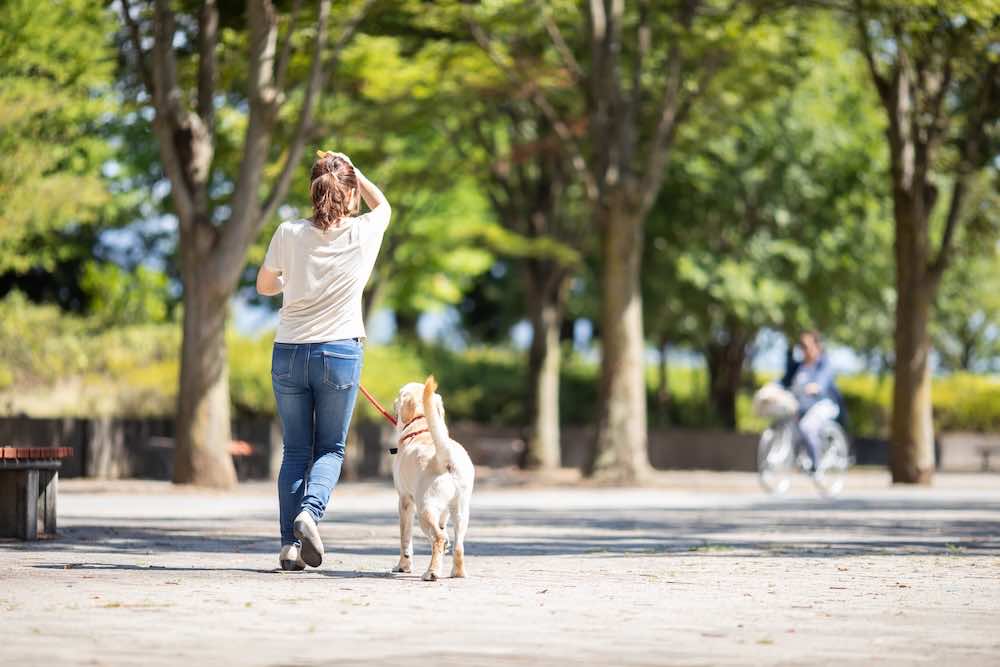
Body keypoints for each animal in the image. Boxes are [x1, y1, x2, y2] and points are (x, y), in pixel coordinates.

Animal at [390, 376, 472, 580]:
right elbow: (441, 532)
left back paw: (431, 572)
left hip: (424, 509)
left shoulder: (405, 501)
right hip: (460, 511)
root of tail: (446, 457)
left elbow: (405, 539)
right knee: (458, 545)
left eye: (399, 394)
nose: (393, 402)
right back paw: (457, 572)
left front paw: (403, 566)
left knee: (438, 538)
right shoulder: (442, 511)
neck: (423, 427)